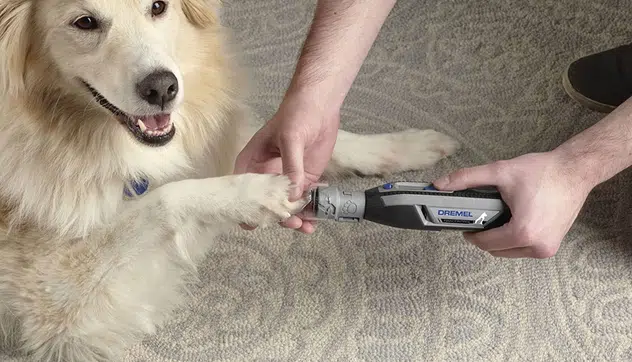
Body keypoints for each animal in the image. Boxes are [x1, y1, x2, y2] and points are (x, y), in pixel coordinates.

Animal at [0, 0, 456, 362]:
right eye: (85, 22)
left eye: (158, 7)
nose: (164, 88)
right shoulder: (62, 307)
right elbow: (165, 199)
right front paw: (257, 193)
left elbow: (326, 142)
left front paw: (410, 147)